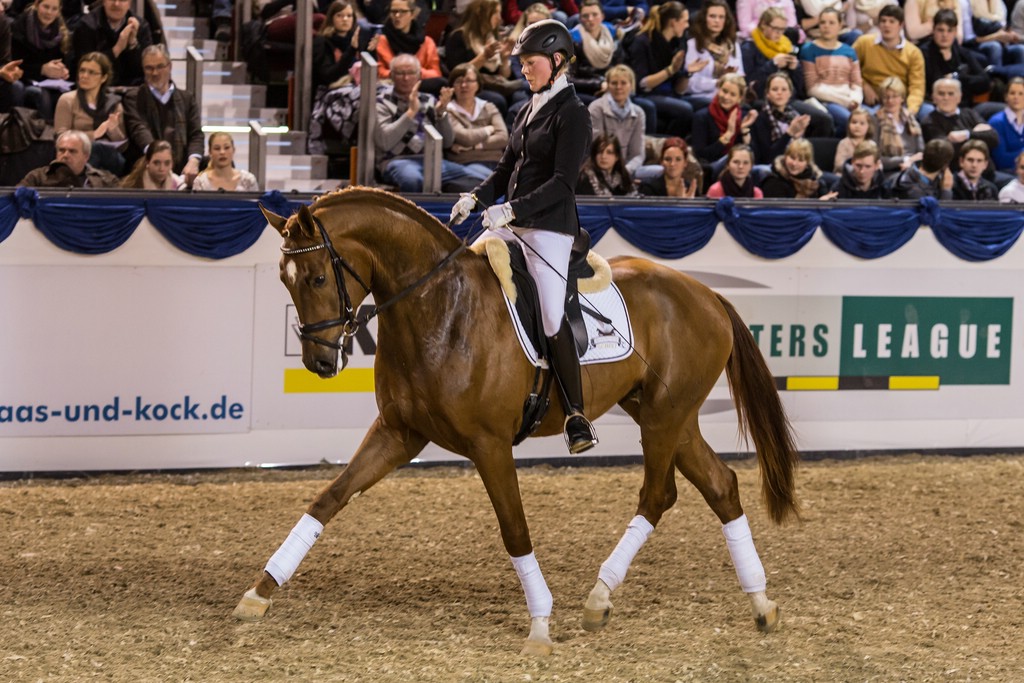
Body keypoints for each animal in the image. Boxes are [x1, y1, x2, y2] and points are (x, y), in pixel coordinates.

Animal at [233, 187, 800, 656]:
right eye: (285, 280)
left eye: (317, 277)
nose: (318, 363)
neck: (439, 307)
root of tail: (706, 294)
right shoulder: (398, 433)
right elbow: (328, 499)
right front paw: (259, 593)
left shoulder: (490, 445)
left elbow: (515, 531)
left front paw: (541, 625)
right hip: (666, 415)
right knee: (720, 485)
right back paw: (760, 604)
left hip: (663, 416)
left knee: (657, 495)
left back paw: (599, 599)